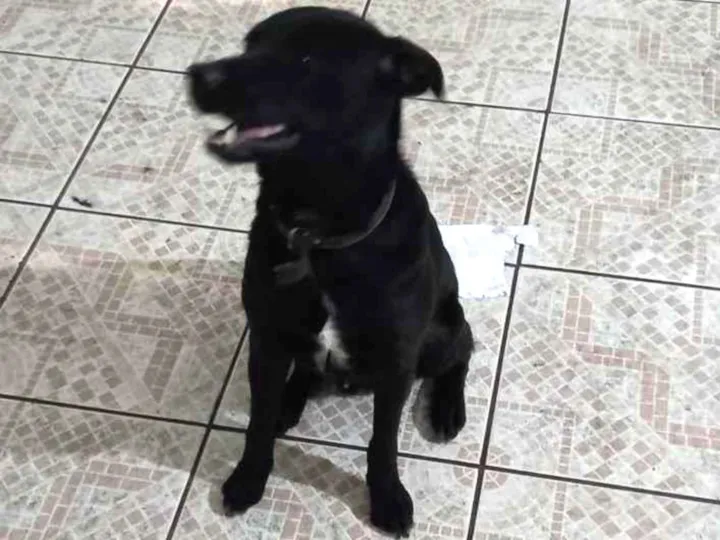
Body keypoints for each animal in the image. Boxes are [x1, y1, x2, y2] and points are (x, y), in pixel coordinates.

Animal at [187, 7, 474, 537]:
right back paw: (291, 400)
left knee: (463, 349)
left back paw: (447, 407)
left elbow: (383, 443)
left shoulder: (397, 359)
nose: (199, 75)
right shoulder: (267, 340)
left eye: (306, 60)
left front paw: (387, 498)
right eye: (249, 44)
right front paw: (249, 477)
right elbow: (258, 422)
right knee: (304, 369)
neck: (316, 235)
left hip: (441, 330)